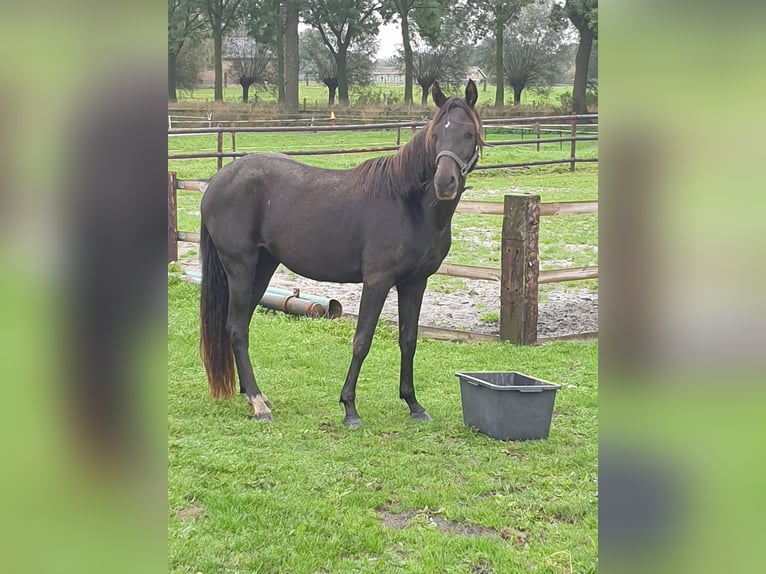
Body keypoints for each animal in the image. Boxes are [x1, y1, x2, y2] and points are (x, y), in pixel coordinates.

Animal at [201, 80, 484, 428]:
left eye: (468, 133)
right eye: (435, 135)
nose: (444, 183)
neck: (408, 205)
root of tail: (218, 180)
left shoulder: (415, 283)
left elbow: (409, 340)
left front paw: (413, 404)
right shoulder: (377, 281)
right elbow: (362, 340)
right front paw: (350, 408)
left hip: (263, 267)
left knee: (240, 324)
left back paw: (255, 395)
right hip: (240, 266)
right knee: (237, 328)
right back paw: (257, 403)